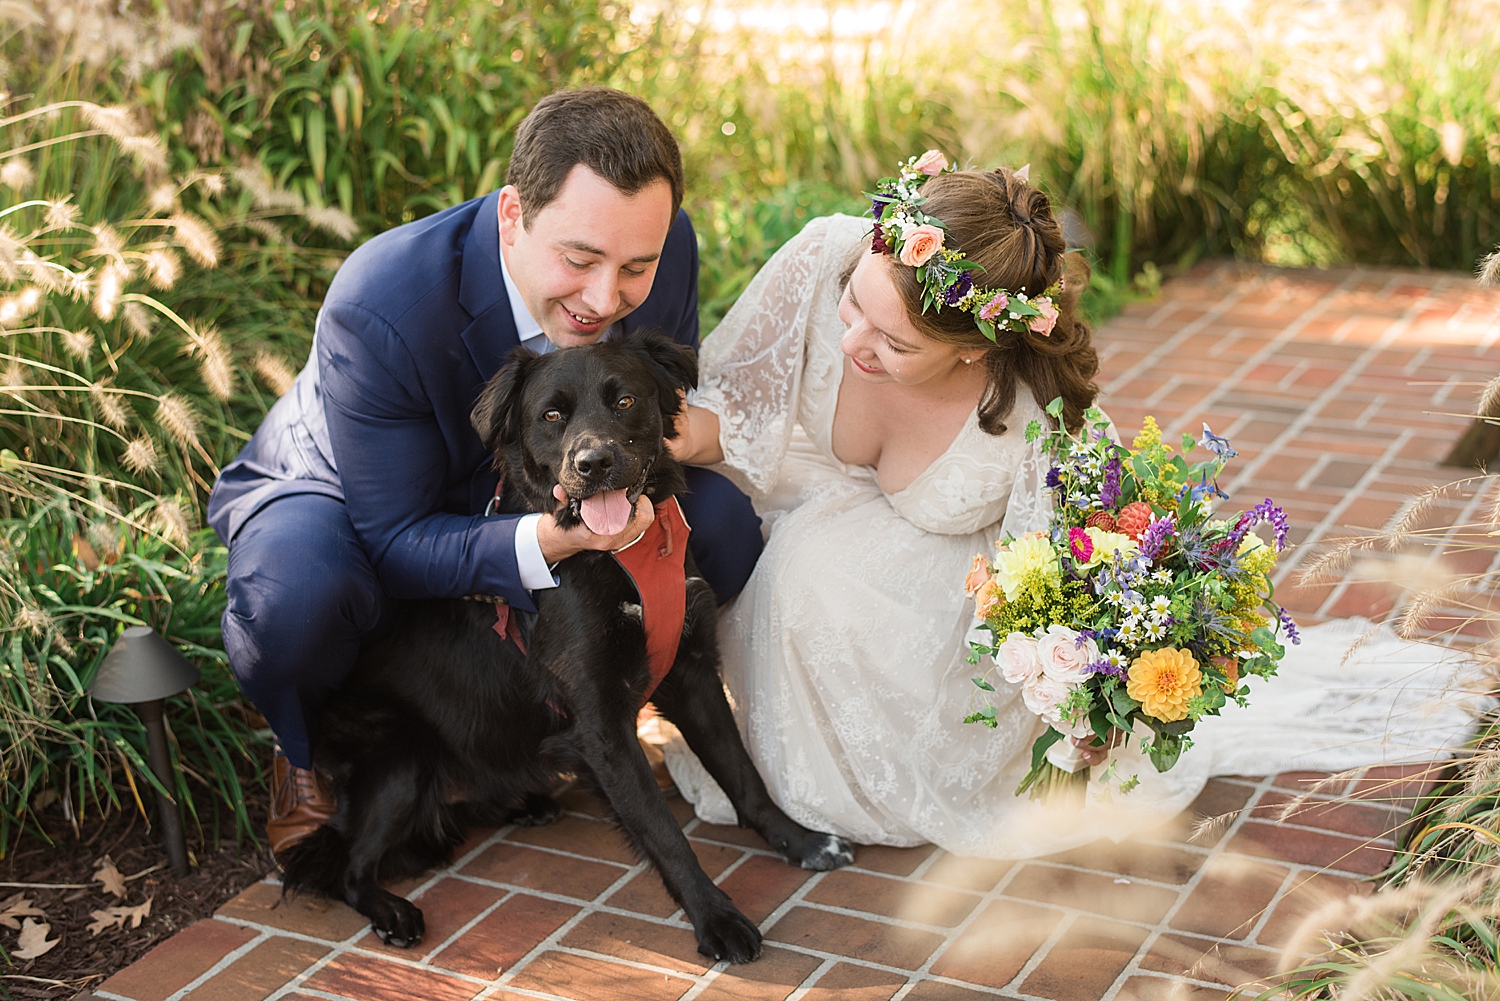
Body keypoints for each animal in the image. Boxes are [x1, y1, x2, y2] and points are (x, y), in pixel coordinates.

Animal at [276, 330, 852, 960]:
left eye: (624, 401)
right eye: (551, 416)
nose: (593, 464)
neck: (617, 554)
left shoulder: (693, 674)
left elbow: (745, 776)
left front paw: (801, 841)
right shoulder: (600, 726)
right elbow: (663, 831)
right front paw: (716, 920)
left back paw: (524, 803)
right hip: (402, 755)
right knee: (349, 869)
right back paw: (392, 911)